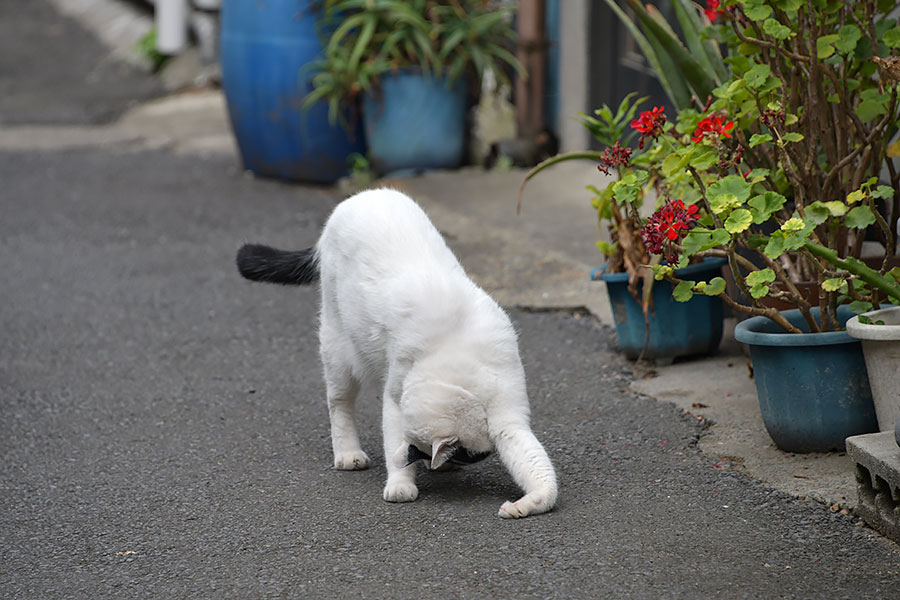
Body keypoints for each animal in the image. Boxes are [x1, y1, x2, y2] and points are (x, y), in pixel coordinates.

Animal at [239, 190, 560, 516]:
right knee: (339, 404)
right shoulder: (395, 396)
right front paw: (400, 483)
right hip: (337, 349)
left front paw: (527, 504)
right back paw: (348, 454)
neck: (455, 358)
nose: (408, 456)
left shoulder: (507, 417)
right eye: (413, 448)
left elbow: (536, 466)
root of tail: (358, 197)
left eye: (422, 449)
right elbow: (391, 433)